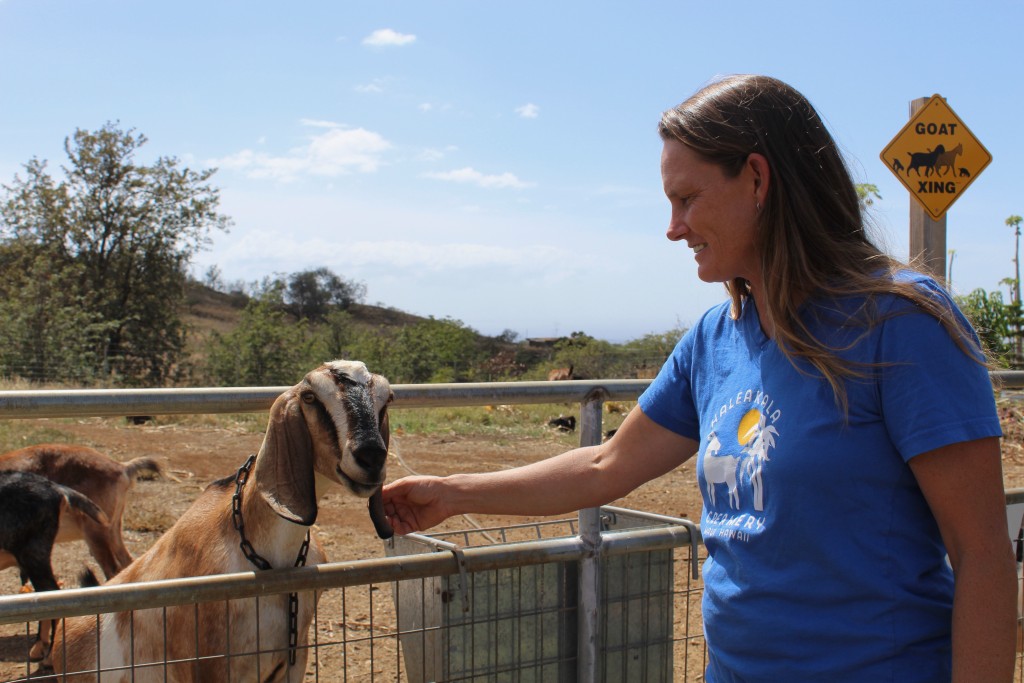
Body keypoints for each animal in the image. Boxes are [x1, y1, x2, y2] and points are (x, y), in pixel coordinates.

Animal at [50, 360, 395, 679]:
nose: (371, 457)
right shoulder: (207, 665)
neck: (267, 556)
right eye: (310, 396)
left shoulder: (296, 655)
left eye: (387, 397)